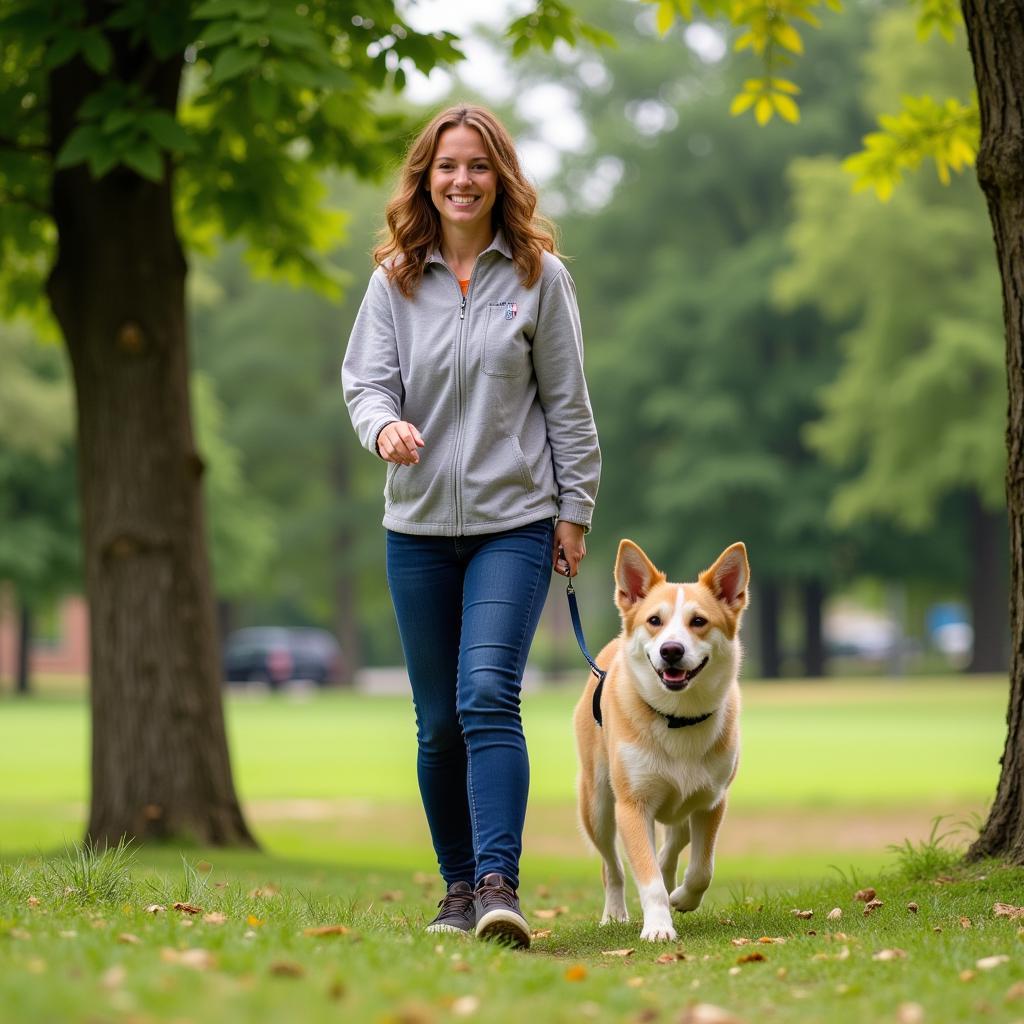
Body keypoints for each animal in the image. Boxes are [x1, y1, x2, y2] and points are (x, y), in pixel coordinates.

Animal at [573, 540, 749, 937]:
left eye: (698, 621)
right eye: (655, 621)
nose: (671, 650)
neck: (677, 719)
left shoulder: (712, 802)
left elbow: (701, 869)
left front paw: (682, 898)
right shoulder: (633, 806)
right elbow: (647, 875)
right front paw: (657, 926)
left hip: (683, 804)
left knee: (673, 846)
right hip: (598, 807)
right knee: (612, 866)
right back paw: (615, 913)